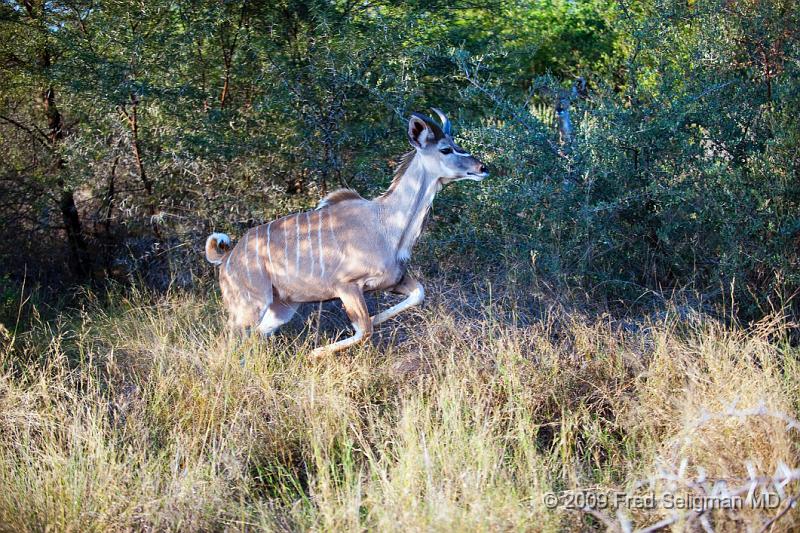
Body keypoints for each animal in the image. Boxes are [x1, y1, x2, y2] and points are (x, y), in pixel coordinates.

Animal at [205, 109, 488, 356]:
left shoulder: (393, 281)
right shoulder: (347, 286)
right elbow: (364, 329)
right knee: (229, 341)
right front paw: (315, 353)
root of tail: (227, 257)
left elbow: (416, 295)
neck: (385, 224)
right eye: (445, 149)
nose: (482, 168)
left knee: (254, 336)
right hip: (250, 305)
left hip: (281, 308)